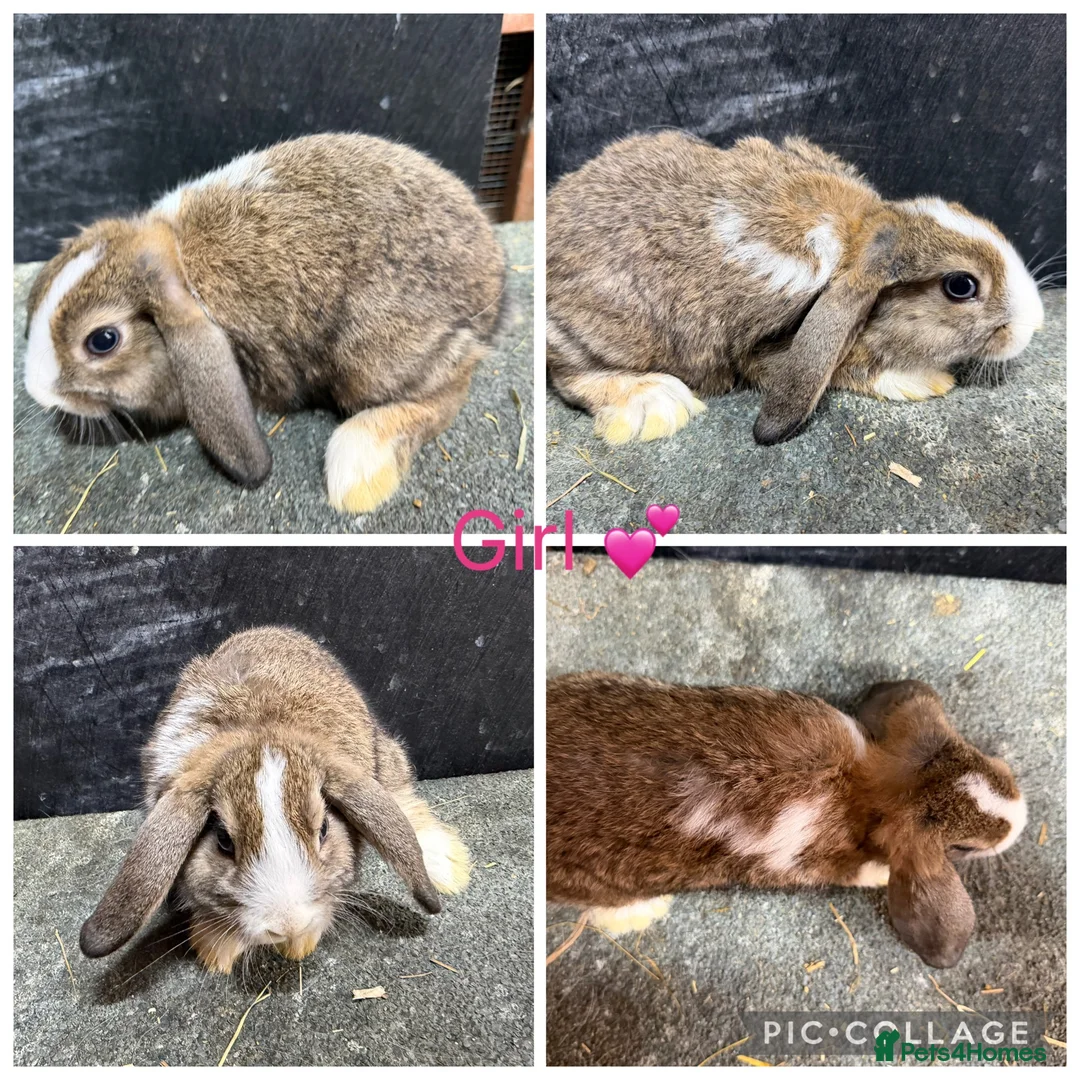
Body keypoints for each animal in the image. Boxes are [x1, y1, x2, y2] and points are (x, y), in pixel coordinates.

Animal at [24, 133, 506, 512]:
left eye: (103, 340)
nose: (37, 391)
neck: (180, 263)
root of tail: (494, 292)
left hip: (374, 361)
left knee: (445, 395)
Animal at [79, 626, 471, 973]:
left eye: (323, 829)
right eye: (223, 841)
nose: (288, 925)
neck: (259, 728)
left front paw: (299, 945)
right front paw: (216, 951)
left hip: (384, 757)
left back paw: (446, 865)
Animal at [547, 132, 1044, 445]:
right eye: (960, 285)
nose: (1033, 325)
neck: (858, 238)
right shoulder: (766, 350)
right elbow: (847, 370)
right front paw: (923, 381)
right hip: (608, 333)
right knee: (570, 378)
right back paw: (656, 403)